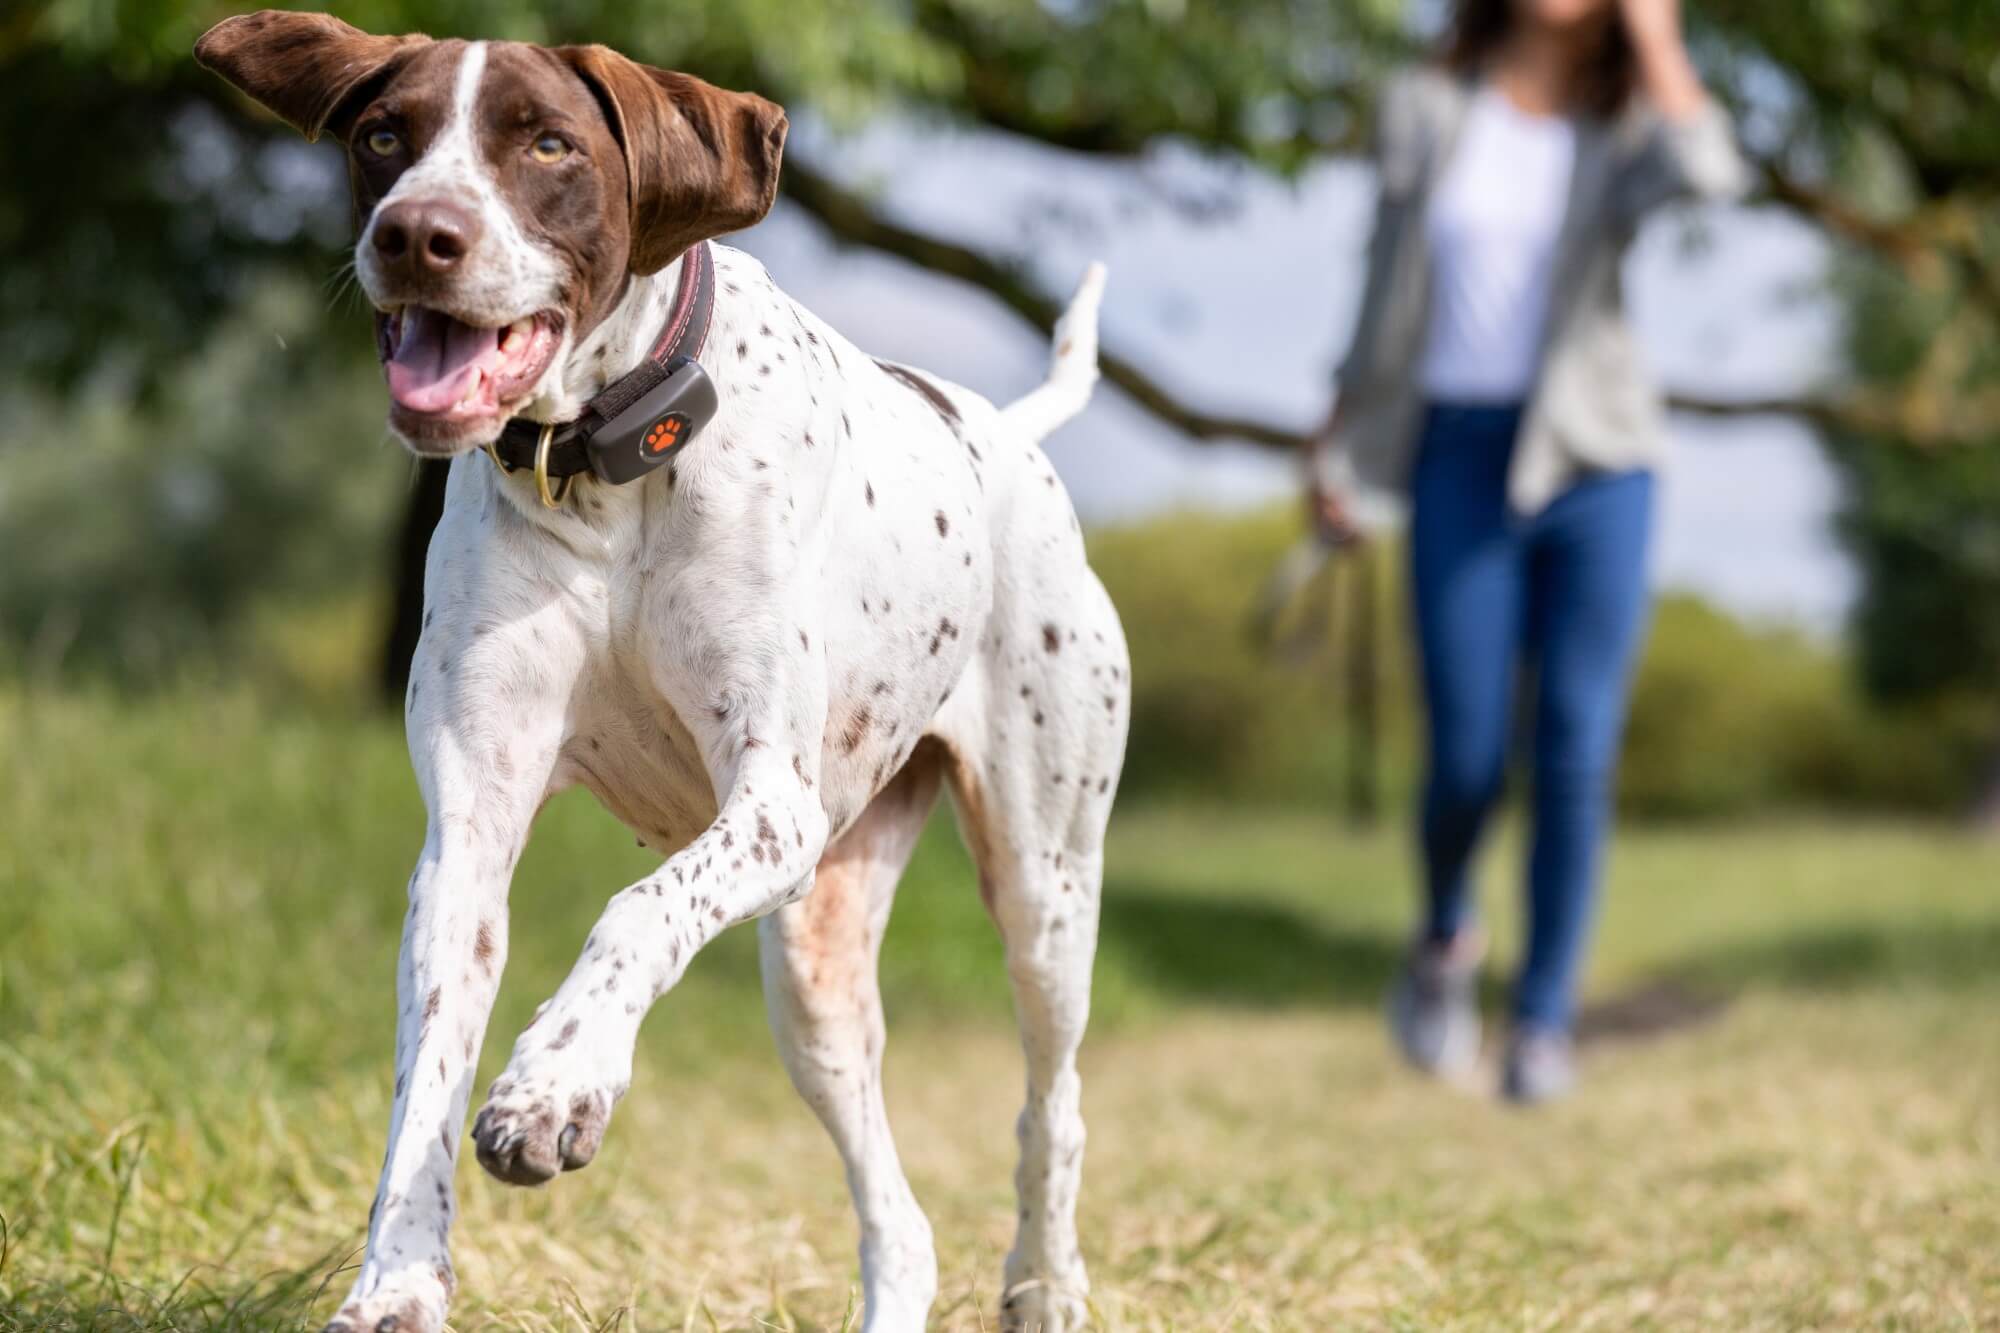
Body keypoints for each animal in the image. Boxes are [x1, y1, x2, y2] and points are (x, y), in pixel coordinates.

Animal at [197, 10, 1136, 1328]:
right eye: (386, 135)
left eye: (546, 142)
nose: (416, 235)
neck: (603, 461)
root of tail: (1009, 433)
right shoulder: (466, 844)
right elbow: (424, 1076)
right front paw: (398, 1283)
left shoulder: (771, 803)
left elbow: (634, 910)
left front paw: (552, 1084)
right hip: (812, 975)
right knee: (898, 1222)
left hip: (1044, 892)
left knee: (1055, 1103)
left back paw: (1046, 1282)